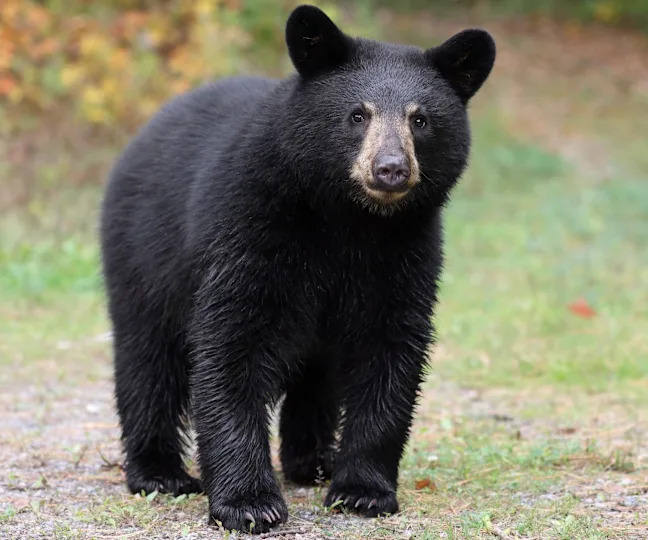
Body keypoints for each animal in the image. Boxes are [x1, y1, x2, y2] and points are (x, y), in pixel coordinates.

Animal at [100, 4, 495, 534]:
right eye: (357, 115)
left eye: (421, 119)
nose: (391, 169)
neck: (348, 221)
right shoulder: (251, 226)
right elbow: (233, 343)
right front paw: (248, 503)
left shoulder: (405, 251)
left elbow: (390, 351)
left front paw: (362, 491)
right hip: (143, 254)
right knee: (147, 358)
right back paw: (159, 472)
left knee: (316, 377)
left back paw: (314, 461)